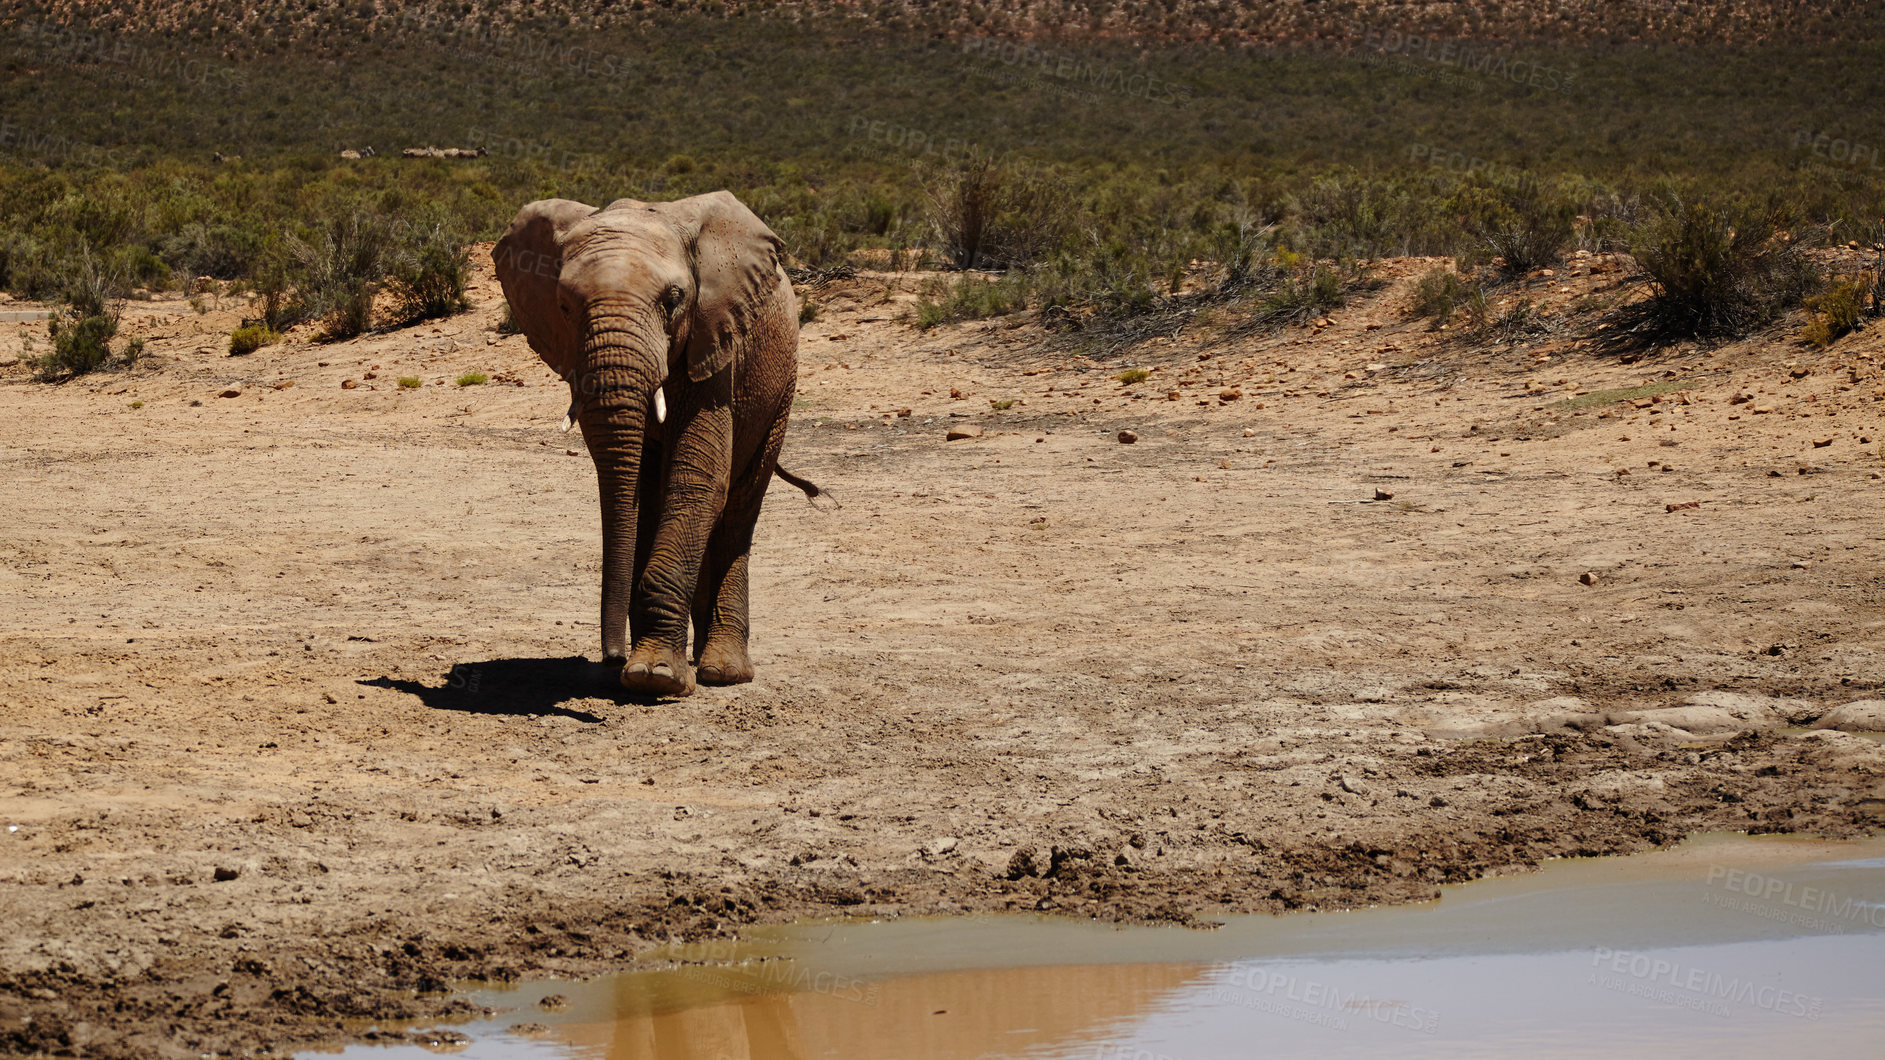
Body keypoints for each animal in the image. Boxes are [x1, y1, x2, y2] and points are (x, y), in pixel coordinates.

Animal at [490, 191, 806, 694]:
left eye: (674, 300)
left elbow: (698, 480)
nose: (610, 656)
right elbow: (642, 489)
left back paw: (722, 672)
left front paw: (653, 676)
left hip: (782, 384)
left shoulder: (714, 343)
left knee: (739, 506)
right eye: (563, 306)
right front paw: (649, 669)